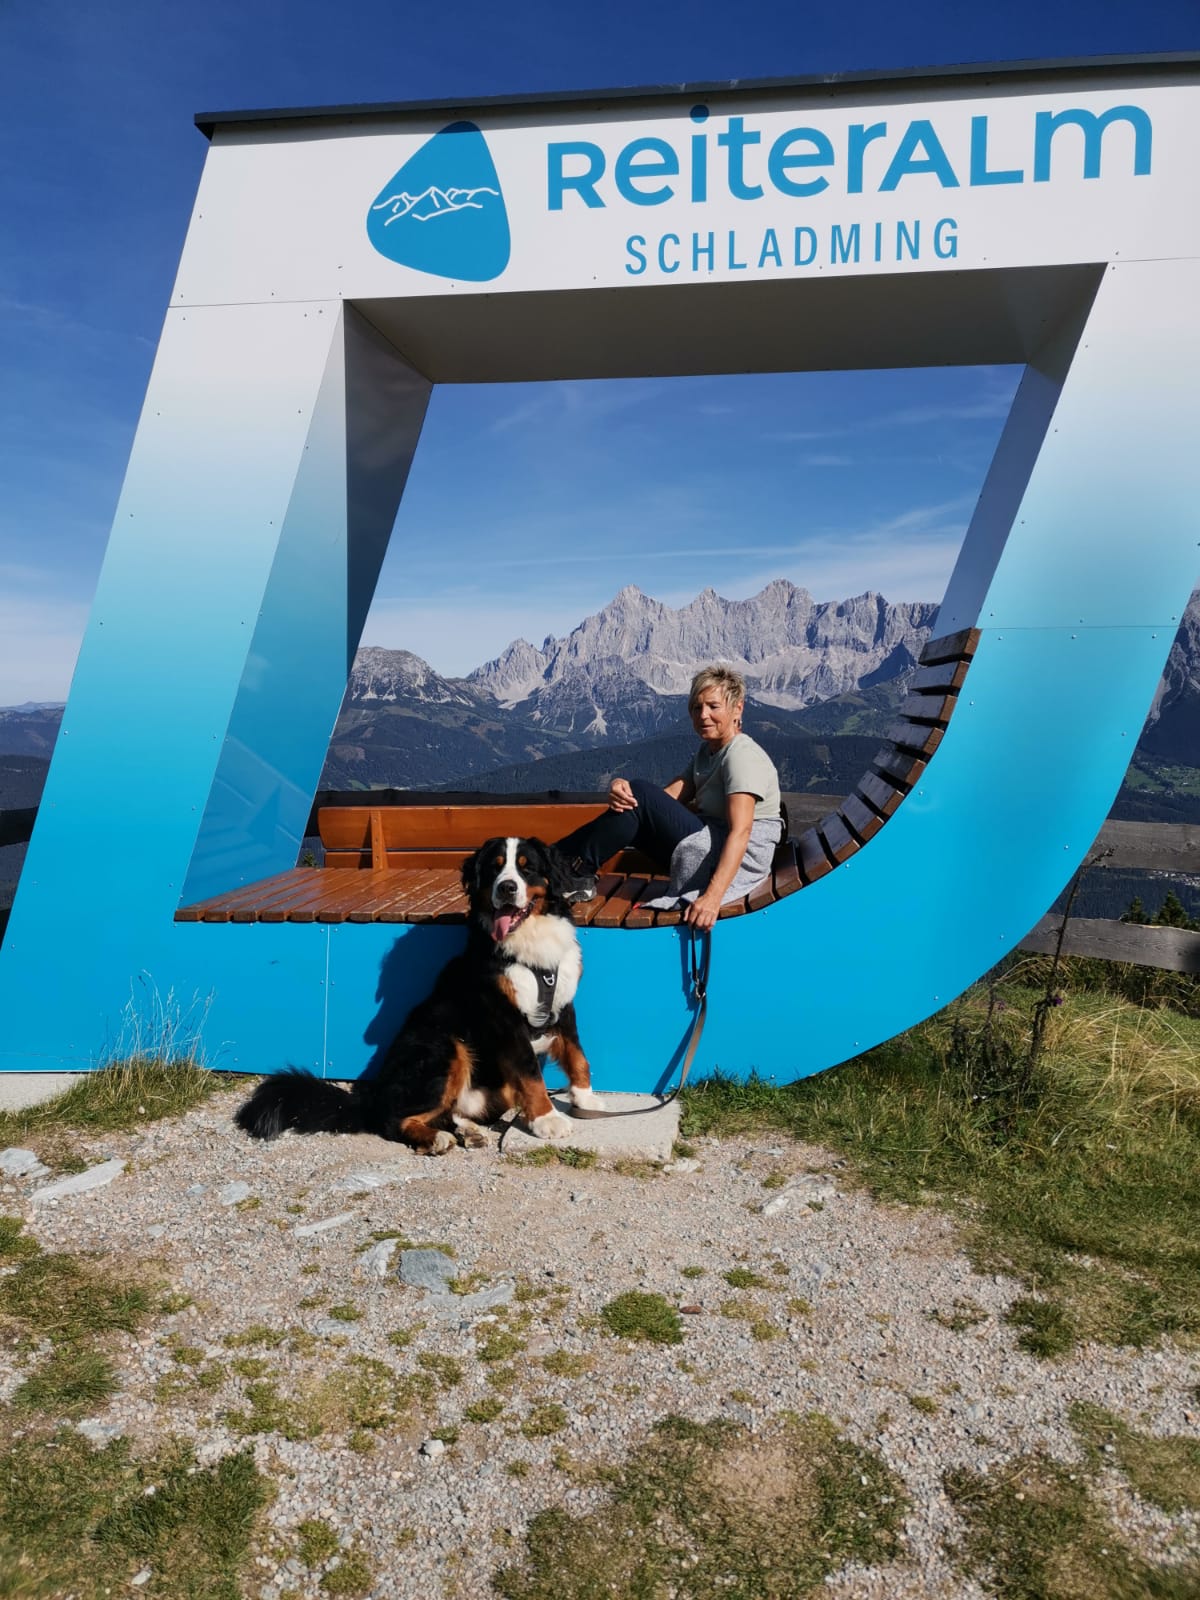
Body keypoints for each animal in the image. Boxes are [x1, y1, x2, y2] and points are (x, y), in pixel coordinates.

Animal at [235, 836, 605, 1154]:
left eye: (527, 868)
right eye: (495, 869)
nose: (507, 888)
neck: (530, 942)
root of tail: (373, 1096)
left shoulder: (563, 1002)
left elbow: (577, 1055)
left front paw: (585, 1100)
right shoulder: (506, 1018)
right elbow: (531, 1074)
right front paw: (547, 1119)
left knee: (452, 1111)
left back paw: (467, 1131)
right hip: (445, 1047)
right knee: (391, 1120)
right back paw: (435, 1138)